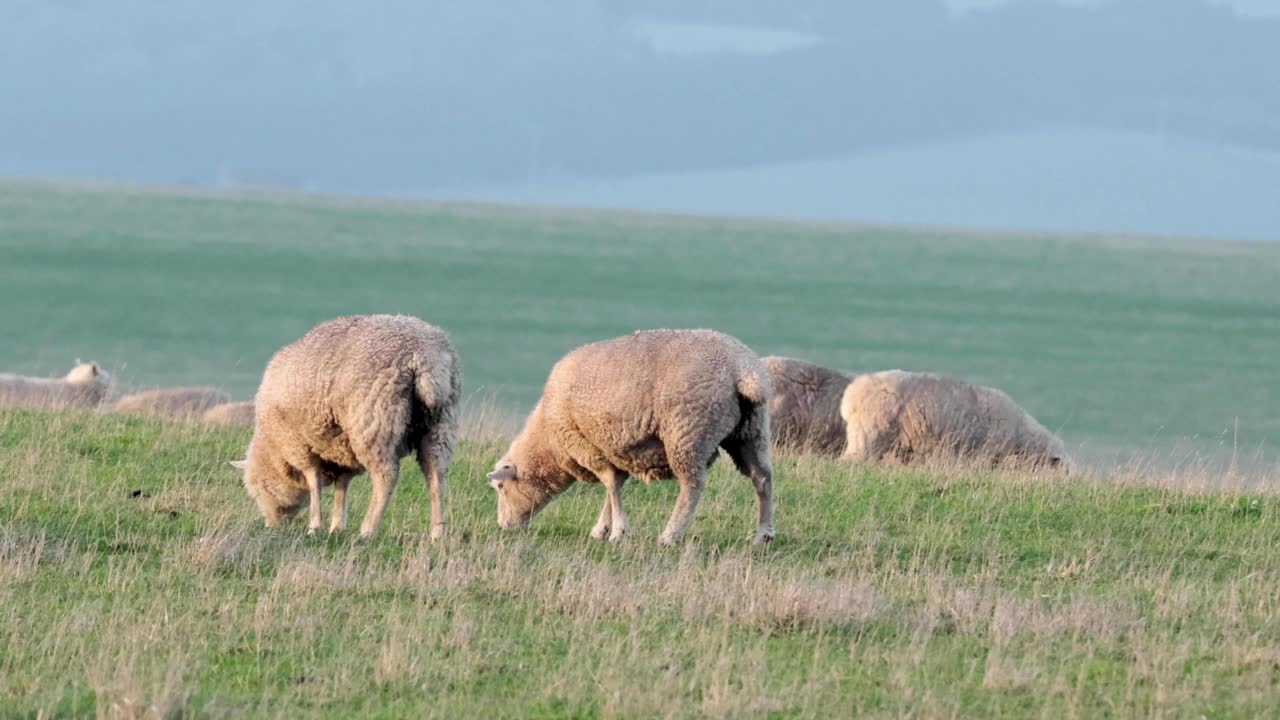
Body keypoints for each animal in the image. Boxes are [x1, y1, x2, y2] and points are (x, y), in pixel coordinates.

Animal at [230, 313, 460, 538]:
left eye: (258, 489)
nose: (271, 526)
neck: (273, 447)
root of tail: (422, 357)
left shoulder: (299, 446)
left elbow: (314, 483)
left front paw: (315, 526)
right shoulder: (343, 451)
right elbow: (342, 487)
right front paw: (337, 527)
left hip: (374, 421)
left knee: (386, 477)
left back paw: (368, 531)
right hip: (441, 425)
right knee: (436, 476)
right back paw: (437, 533)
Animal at [483, 327, 773, 540]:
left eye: (500, 487)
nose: (504, 527)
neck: (548, 437)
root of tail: (741, 368)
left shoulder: (590, 449)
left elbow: (611, 486)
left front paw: (617, 532)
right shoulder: (611, 450)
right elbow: (614, 488)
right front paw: (603, 528)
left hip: (687, 432)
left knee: (693, 485)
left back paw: (671, 534)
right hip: (751, 431)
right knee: (762, 477)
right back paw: (764, 534)